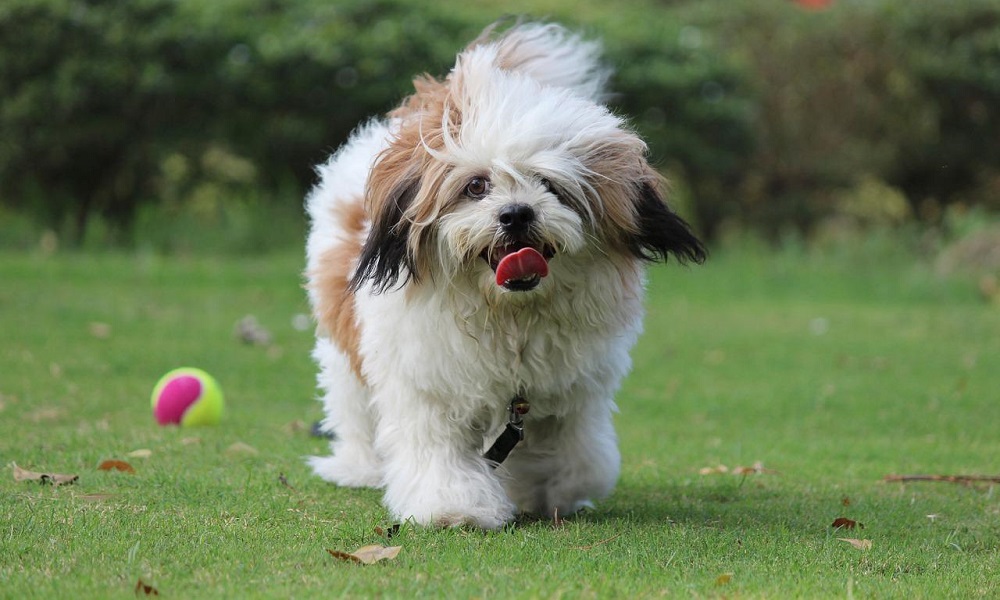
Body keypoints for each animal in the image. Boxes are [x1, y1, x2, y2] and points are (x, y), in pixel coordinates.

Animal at [302, 21, 704, 528]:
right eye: (476, 186)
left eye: (550, 185)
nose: (516, 214)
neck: (509, 314)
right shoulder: (426, 383)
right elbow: (438, 452)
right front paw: (455, 506)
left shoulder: (570, 393)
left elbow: (578, 458)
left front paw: (547, 490)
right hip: (345, 351)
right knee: (353, 406)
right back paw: (359, 468)